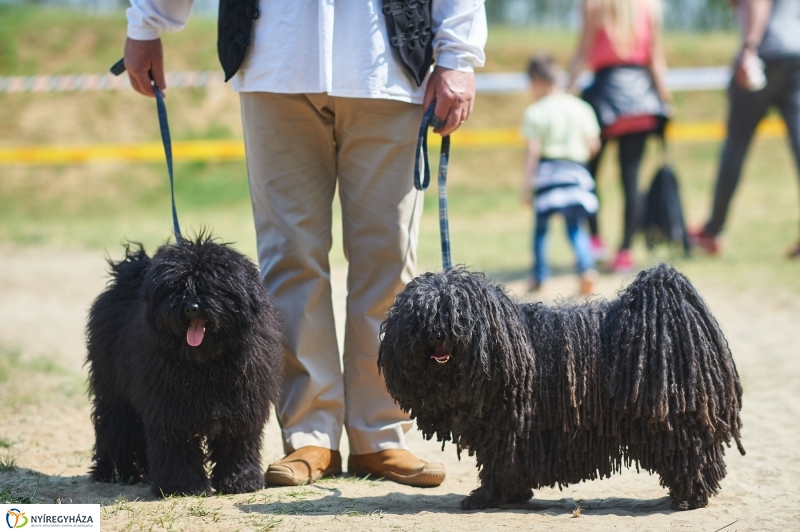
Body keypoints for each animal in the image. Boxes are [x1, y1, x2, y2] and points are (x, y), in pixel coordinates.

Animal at [85, 235, 282, 496]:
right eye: (176, 287)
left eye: (212, 284)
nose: (191, 307)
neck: (205, 362)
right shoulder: (169, 408)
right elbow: (177, 446)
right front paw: (182, 485)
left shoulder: (242, 405)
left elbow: (237, 441)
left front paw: (240, 481)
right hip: (113, 391)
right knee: (115, 425)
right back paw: (116, 472)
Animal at [380, 266, 744, 512]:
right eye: (420, 315)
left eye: (457, 312)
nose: (439, 333)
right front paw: (508, 495)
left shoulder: (508, 431)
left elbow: (500, 465)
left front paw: (487, 497)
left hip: (674, 420)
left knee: (692, 455)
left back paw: (689, 498)